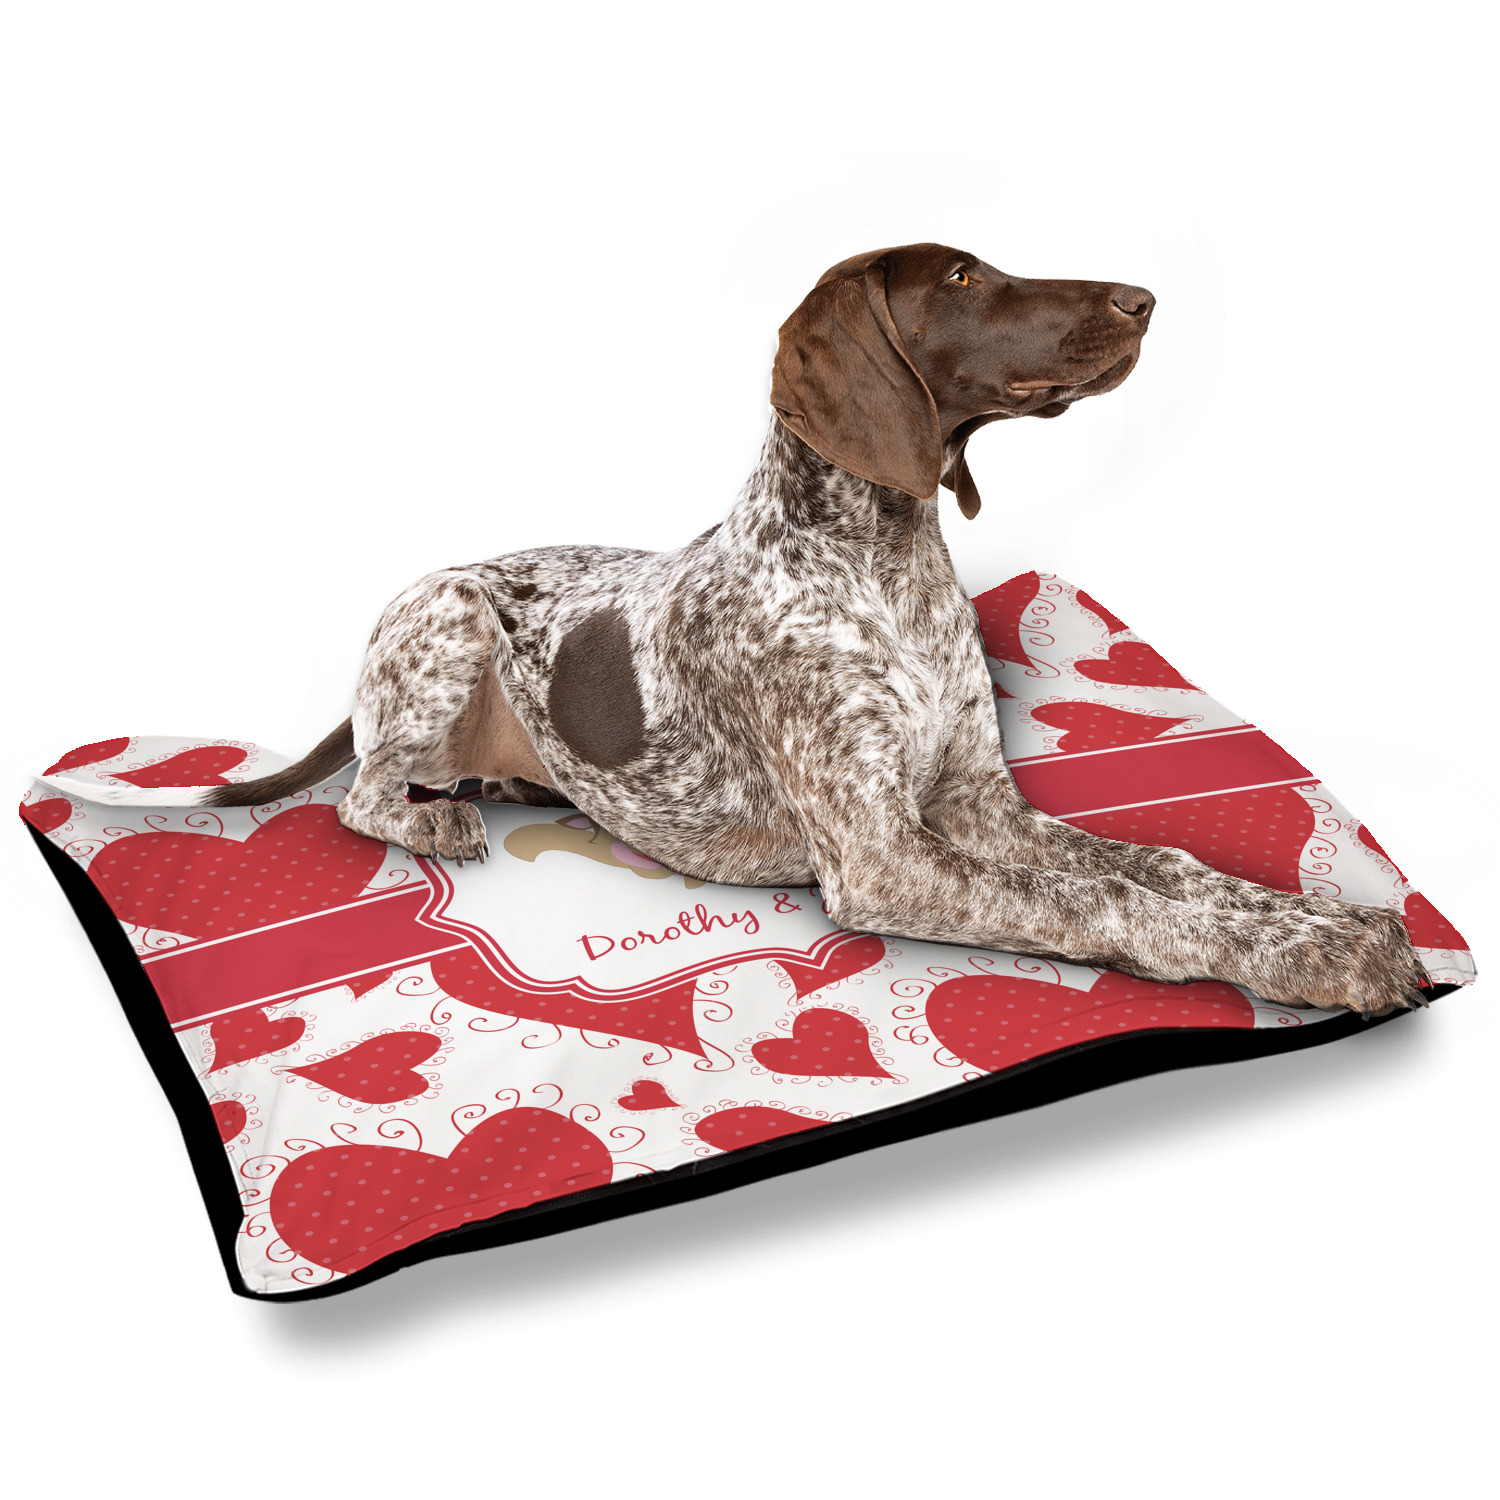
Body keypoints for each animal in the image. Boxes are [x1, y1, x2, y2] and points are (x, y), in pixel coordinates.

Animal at [51, 243, 1428, 1018]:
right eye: (963, 279)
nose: (1144, 298)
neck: (882, 567)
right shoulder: (885, 857)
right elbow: (1111, 905)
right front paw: (1317, 961)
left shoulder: (979, 806)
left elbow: (1159, 865)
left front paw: (1327, 921)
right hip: (441, 623)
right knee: (361, 795)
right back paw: (434, 812)